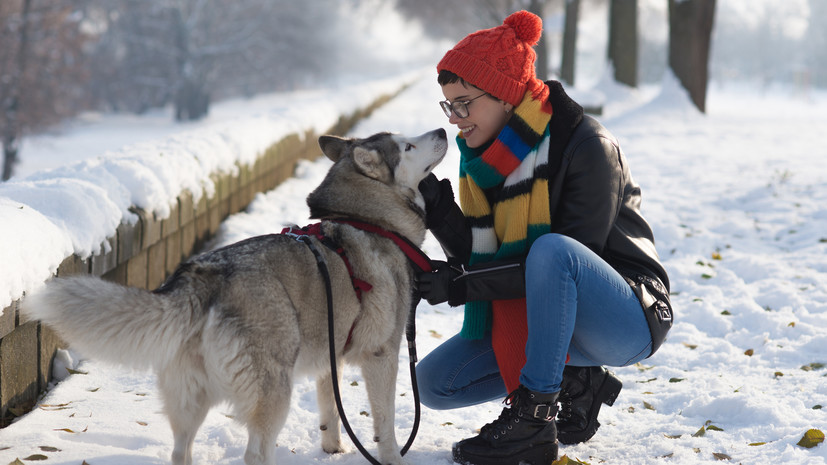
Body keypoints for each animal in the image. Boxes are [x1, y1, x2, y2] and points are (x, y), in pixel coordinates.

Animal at [21, 128, 446, 464]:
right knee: (256, 452)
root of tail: (203, 276)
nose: (442, 129)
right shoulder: (381, 353)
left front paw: (332, 448)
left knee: (180, 451)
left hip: (189, 397)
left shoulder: (332, 352)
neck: (368, 219)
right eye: (408, 145)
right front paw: (391, 459)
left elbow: (330, 405)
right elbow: (386, 423)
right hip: (273, 391)